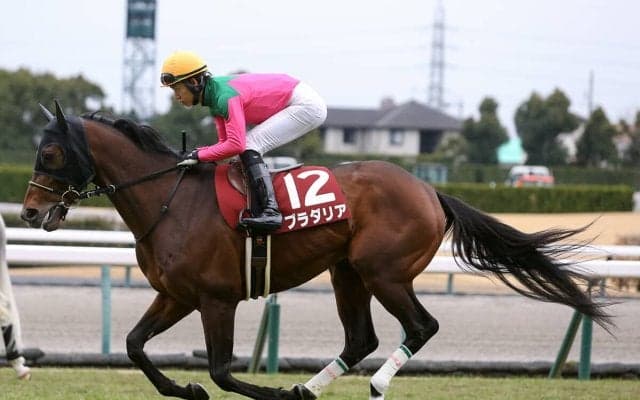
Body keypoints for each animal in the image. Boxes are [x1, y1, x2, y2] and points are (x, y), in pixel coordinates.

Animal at [21, 101, 611, 400]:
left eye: (50, 153)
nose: (27, 212)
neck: (170, 200)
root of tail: (429, 190)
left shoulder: (215, 299)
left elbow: (222, 371)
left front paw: (267, 394)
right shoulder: (176, 295)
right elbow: (135, 345)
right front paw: (185, 388)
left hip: (383, 271)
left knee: (420, 326)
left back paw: (372, 383)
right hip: (346, 272)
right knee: (361, 337)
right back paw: (310, 387)